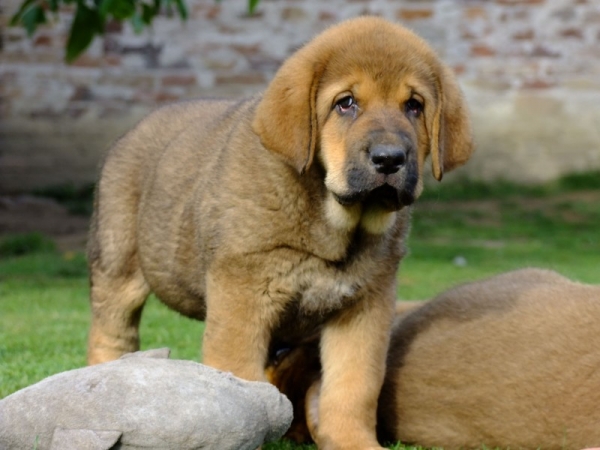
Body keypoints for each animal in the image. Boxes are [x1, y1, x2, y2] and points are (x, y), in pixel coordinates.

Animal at [86, 17, 472, 450]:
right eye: (346, 103)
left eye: (414, 106)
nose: (389, 159)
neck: (334, 226)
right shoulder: (242, 298)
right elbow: (244, 385)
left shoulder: (365, 307)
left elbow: (353, 388)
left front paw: (352, 440)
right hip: (117, 266)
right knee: (110, 336)